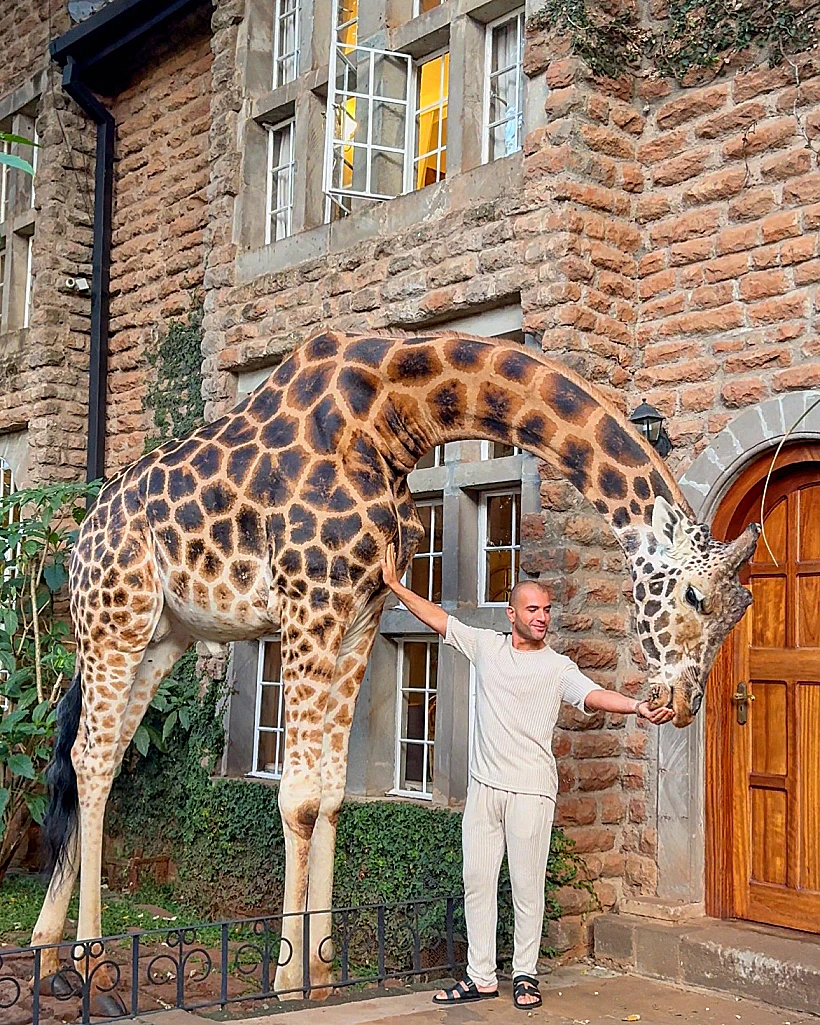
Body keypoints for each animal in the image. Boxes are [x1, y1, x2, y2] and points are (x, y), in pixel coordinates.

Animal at [32, 329, 759, 1012]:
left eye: (740, 611)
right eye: (696, 597)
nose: (680, 703)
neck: (393, 417)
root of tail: (83, 532)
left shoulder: (357, 617)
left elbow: (329, 795)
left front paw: (322, 971)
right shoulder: (307, 606)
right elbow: (297, 796)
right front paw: (286, 980)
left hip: (164, 634)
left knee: (98, 756)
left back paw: (49, 959)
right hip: (114, 620)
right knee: (90, 757)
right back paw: (95, 964)